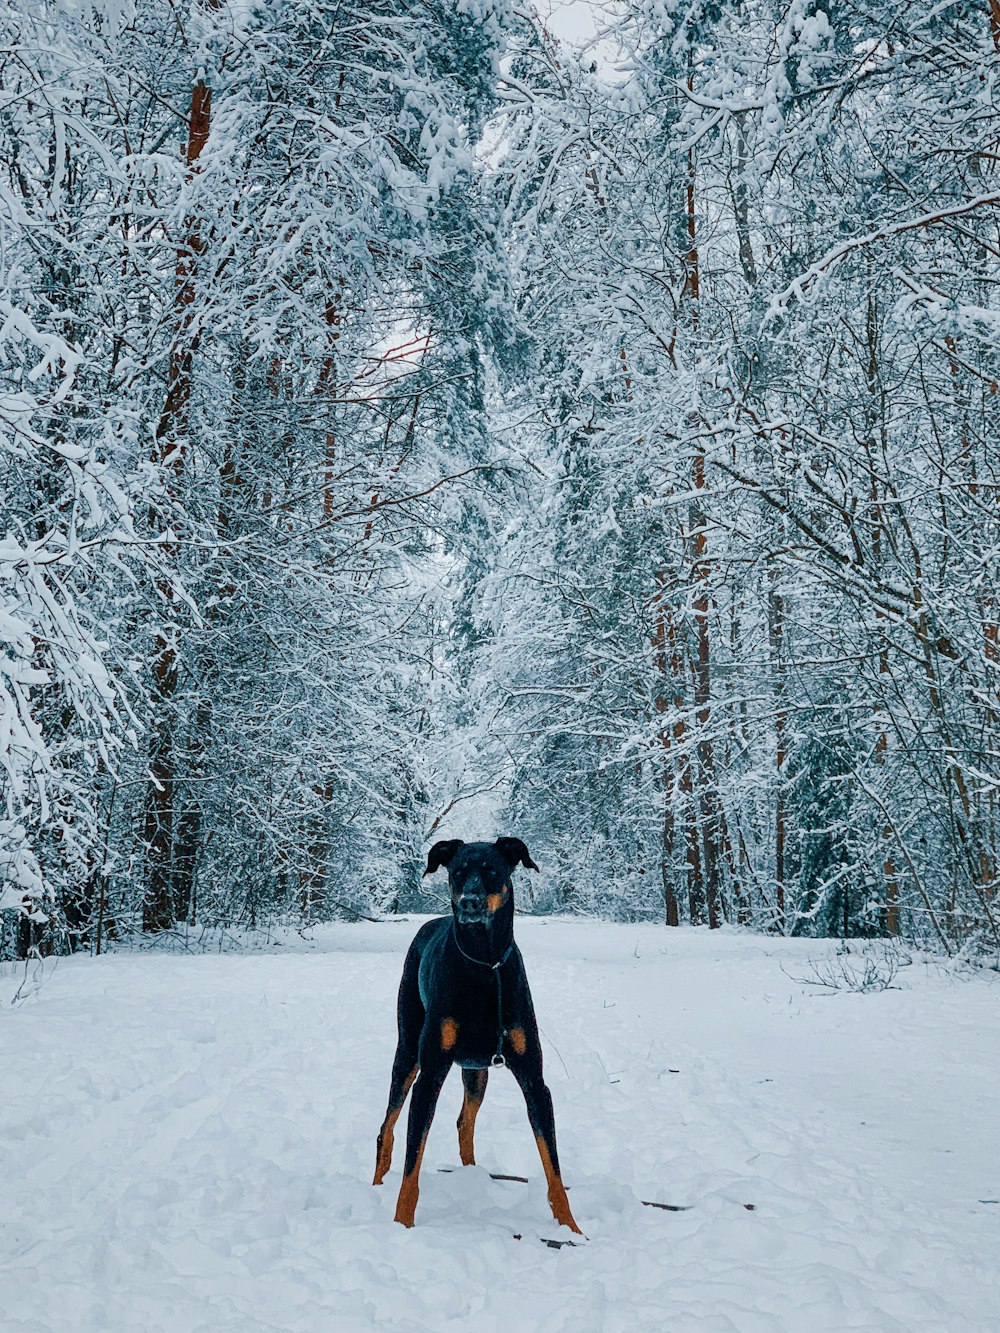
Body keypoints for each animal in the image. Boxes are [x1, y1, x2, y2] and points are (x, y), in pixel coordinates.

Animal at [373, 837, 578, 1231]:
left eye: (493, 871)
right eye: (457, 872)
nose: (470, 901)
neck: (483, 965)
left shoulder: (534, 1078)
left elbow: (554, 1168)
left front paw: (572, 1229)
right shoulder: (430, 1073)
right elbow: (411, 1165)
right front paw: (401, 1225)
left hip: (476, 1070)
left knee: (464, 1122)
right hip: (407, 1052)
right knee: (386, 1128)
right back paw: (376, 1184)